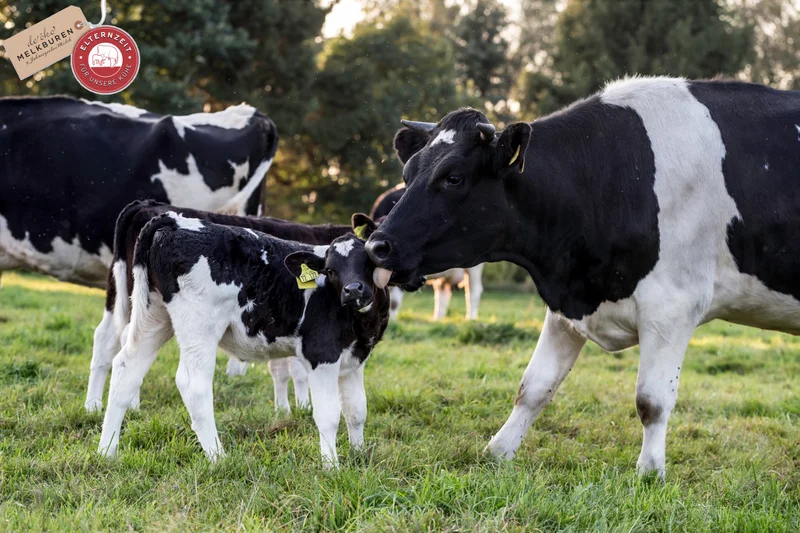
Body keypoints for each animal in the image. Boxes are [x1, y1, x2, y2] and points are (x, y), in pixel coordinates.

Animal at [85, 200, 352, 414]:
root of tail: (146, 205)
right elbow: (297, 369)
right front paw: (303, 407)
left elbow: (279, 368)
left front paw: (284, 409)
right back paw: (131, 405)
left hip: (122, 294)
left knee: (107, 339)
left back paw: (93, 406)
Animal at [98, 212, 389, 467]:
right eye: (330, 270)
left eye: (367, 262)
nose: (353, 291)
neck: (360, 324)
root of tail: (174, 221)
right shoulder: (321, 354)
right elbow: (329, 415)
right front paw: (332, 467)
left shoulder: (354, 360)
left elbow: (357, 410)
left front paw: (359, 455)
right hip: (199, 326)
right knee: (193, 385)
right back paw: (218, 458)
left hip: (153, 316)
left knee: (126, 369)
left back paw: (106, 451)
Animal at [370, 185, 484, 321]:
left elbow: (393, 302)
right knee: (443, 291)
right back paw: (437, 319)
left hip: (475, 266)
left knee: (473, 290)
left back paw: (470, 319)